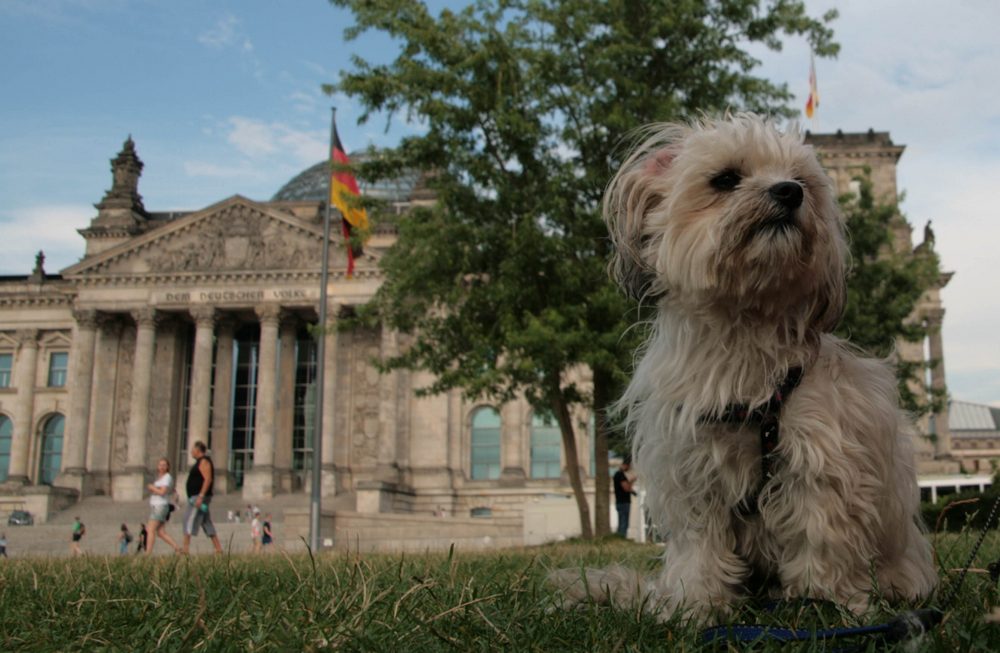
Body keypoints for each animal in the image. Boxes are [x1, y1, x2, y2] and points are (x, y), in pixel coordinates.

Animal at [556, 113, 936, 620]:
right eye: (725, 179)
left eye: (802, 181)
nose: (789, 191)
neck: (743, 331)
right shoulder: (691, 467)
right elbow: (699, 544)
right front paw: (695, 605)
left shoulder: (822, 464)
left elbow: (822, 537)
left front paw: (822, 603)